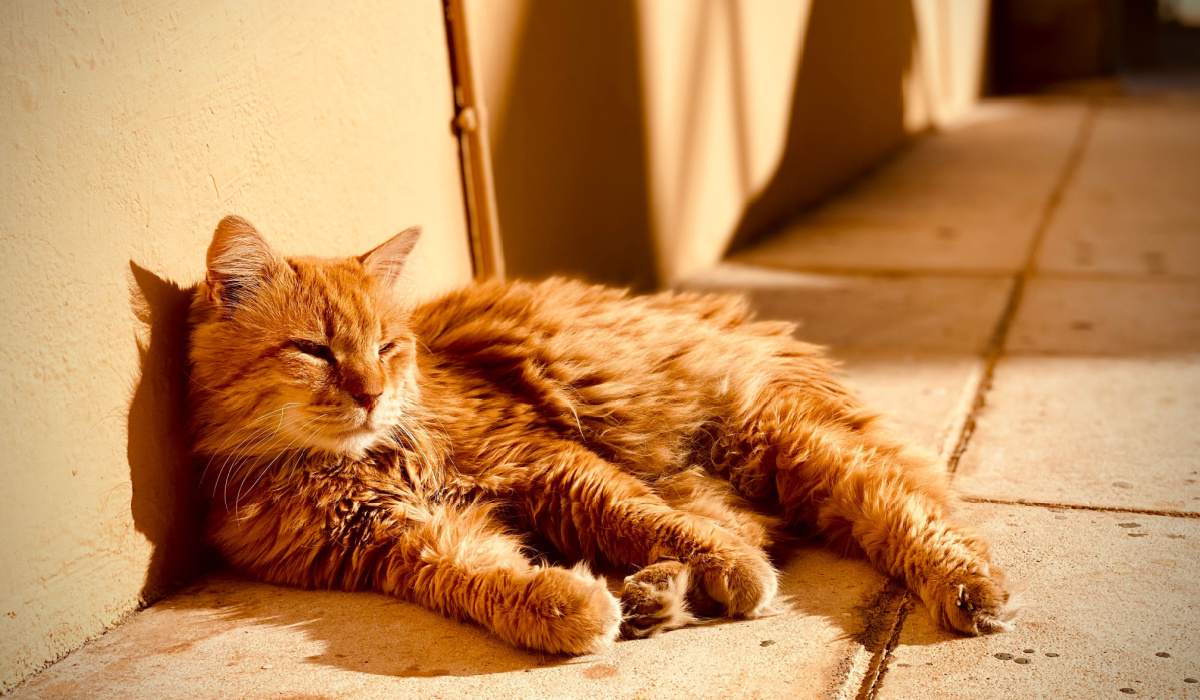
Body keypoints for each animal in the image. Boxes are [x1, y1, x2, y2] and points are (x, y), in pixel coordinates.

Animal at [187, 214, 1012, 657]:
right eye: (314, 351)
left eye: (387, 347)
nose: (370, 393)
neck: (367, 463)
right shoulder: (406, 541)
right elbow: (490, 582)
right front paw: (570, 610)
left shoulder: (540, 460)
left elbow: (645, 517)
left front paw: (718, 572)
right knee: (759, 526)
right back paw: (653, 598)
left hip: (790, 445)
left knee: (905, 514)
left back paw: (968, 592)